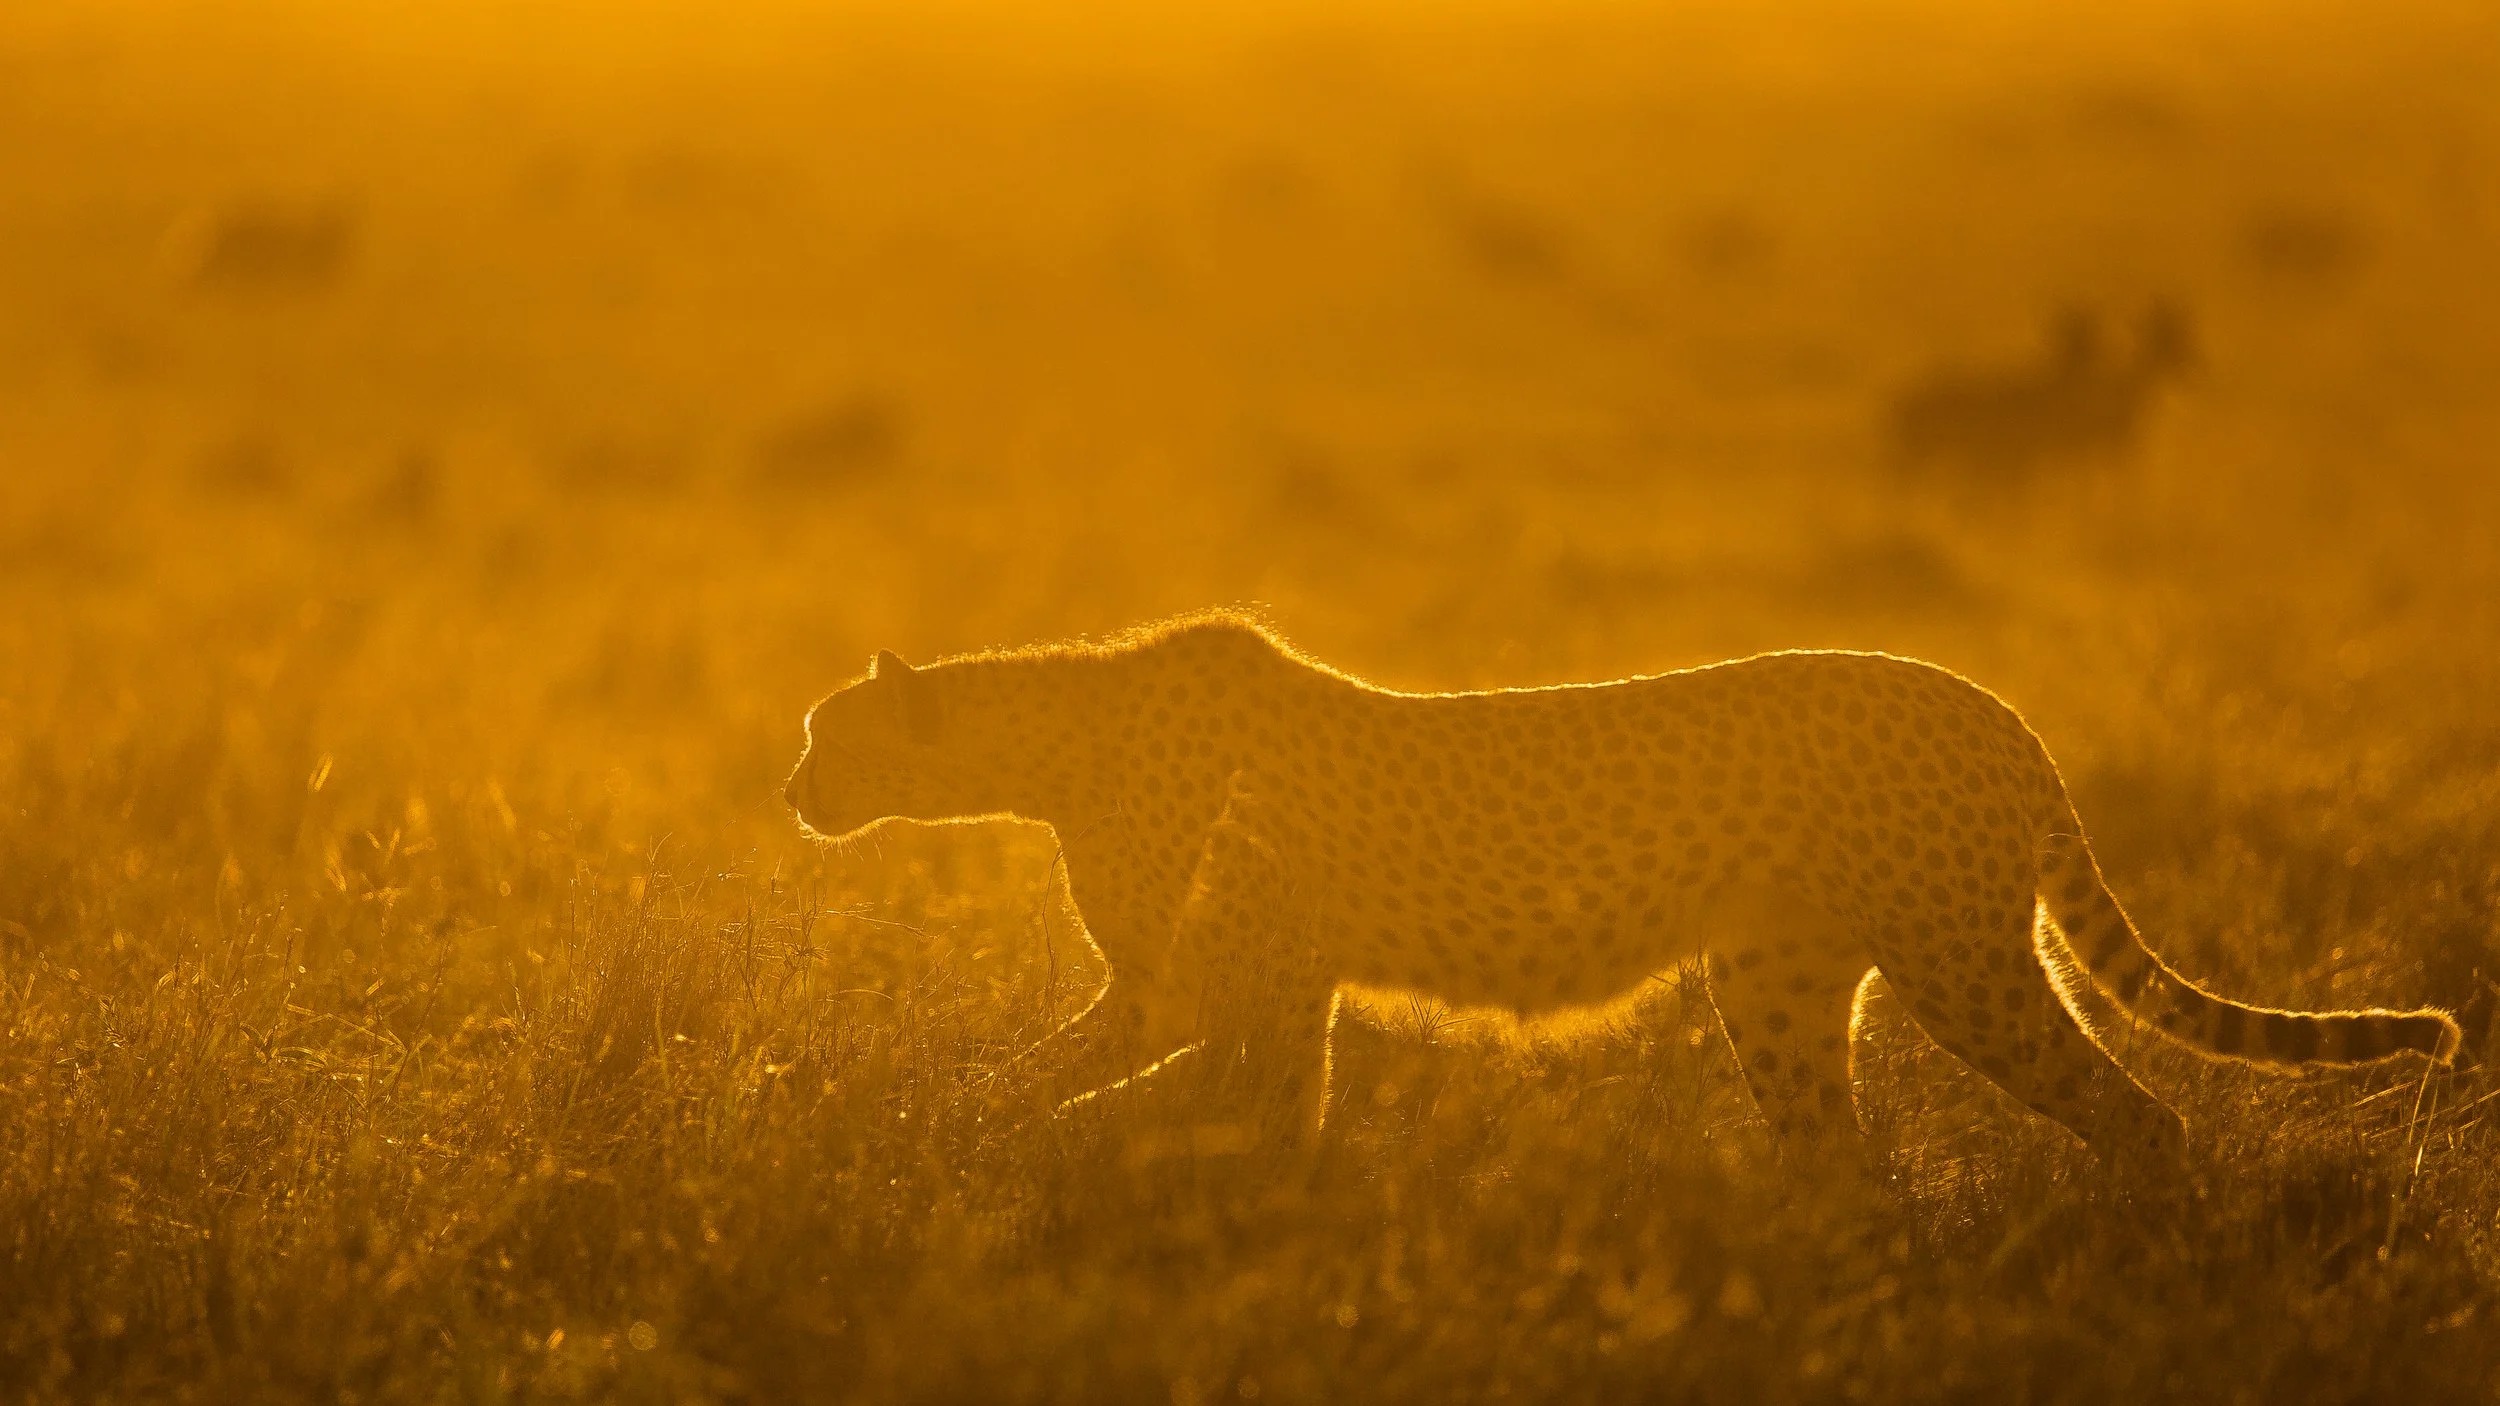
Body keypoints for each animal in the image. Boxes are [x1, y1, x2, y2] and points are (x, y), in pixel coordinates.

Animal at [784, 612, 2460, 1164]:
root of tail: (1989, 702)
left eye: (823, 731)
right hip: (1778, 983)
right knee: (1846, 1163)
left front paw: (938, 1126)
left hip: (1964, 958)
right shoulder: (1257, 994)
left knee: (2142, 1116)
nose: (791, 788)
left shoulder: (1204, 991)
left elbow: (1084, 1085)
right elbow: (1234, 1111)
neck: (1047, 739)